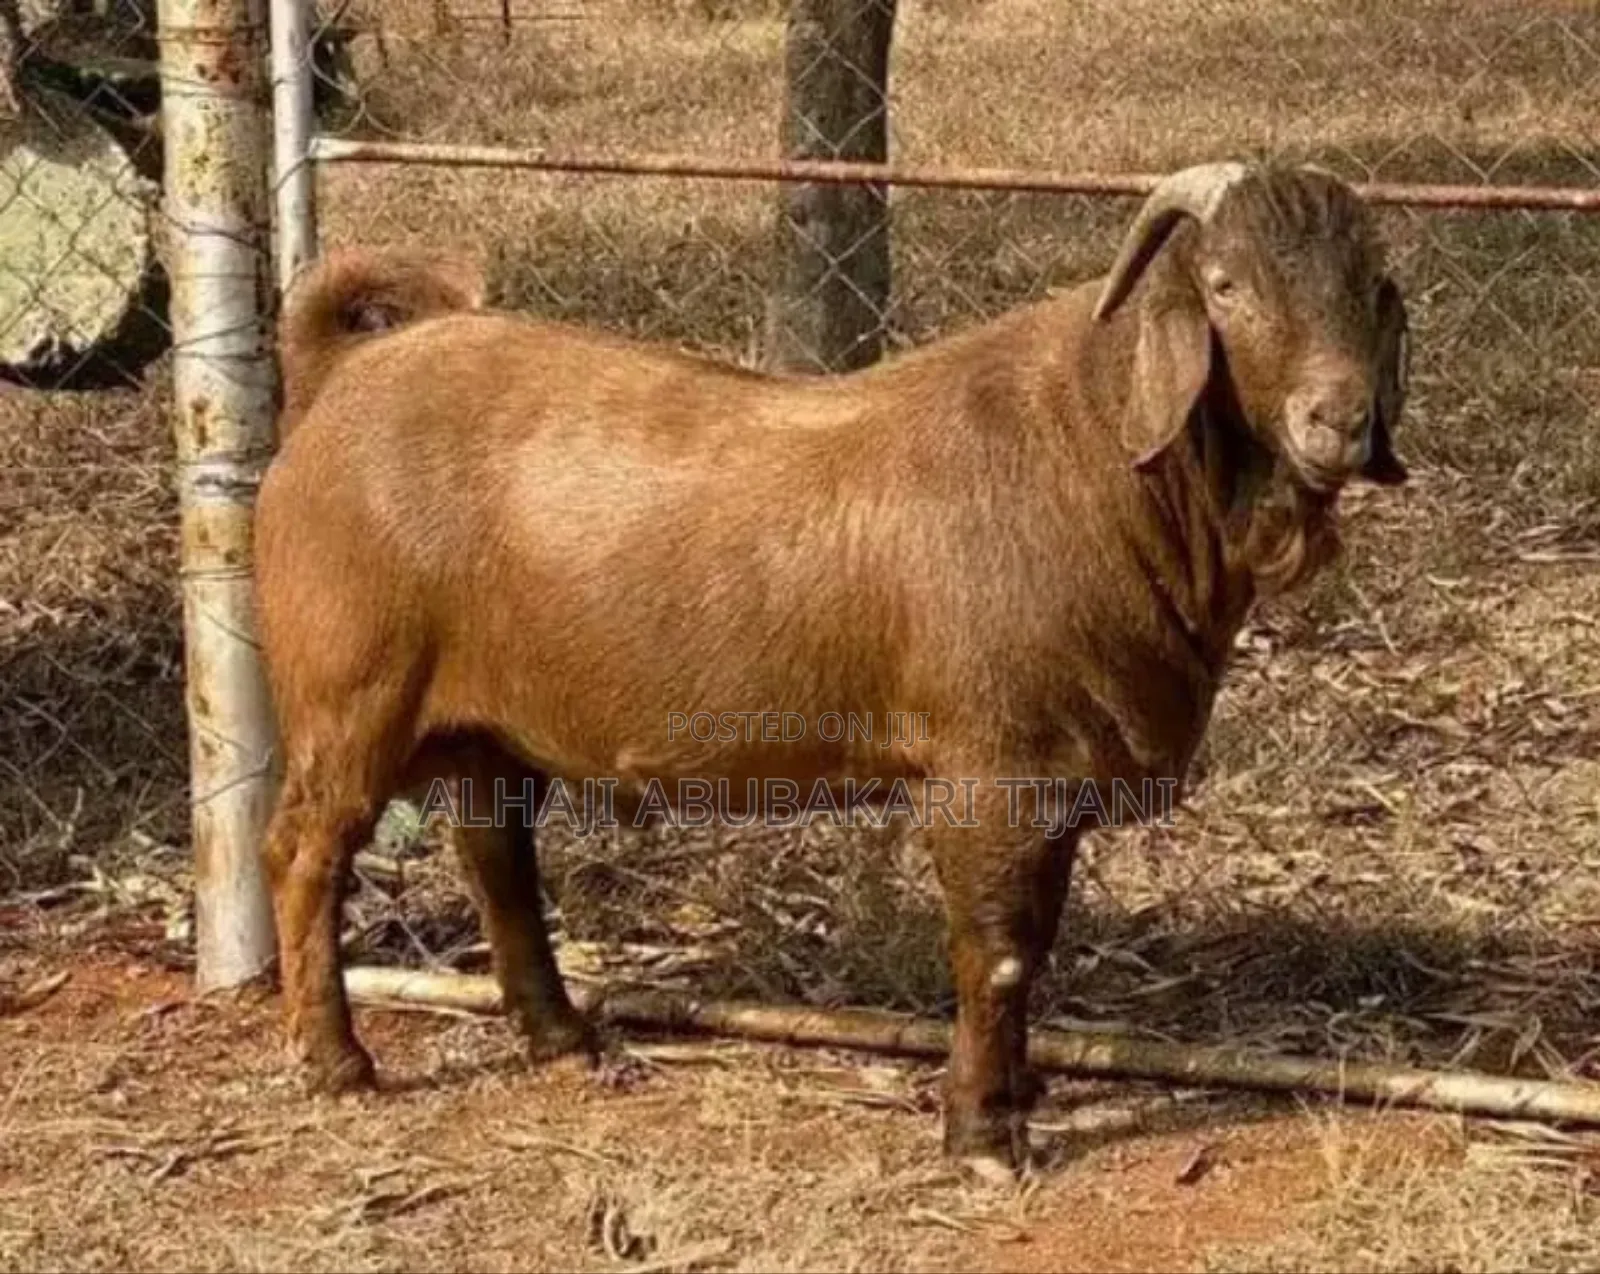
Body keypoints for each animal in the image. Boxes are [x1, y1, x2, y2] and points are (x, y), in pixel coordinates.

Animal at [255, 160, 1410, 1181]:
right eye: (1226, 284)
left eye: (1370, 285)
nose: (1339, 421)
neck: (1098, 448)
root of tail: (340, 384)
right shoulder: (991, 769)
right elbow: (998, 948)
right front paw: (983, 1136)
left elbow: (1033, 938)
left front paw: (1019, 1093)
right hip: (351, 691)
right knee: (307, 850)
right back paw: (337, 1061)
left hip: (487, 724)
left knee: (494, 851)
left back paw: (563, 1037)